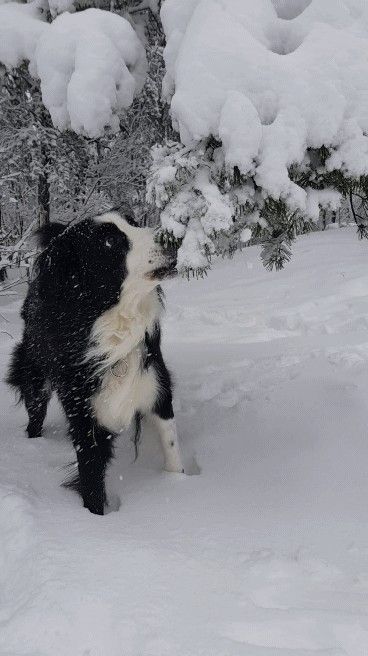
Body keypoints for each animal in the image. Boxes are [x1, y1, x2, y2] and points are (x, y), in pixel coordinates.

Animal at [5, 213, 184, 516]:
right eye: (110, 241)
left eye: (134, 222)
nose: (173, 238)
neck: (114, 327)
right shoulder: (84, 415)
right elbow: (91, 480)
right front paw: (94, 523)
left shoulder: (157, 388)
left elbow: (172, 450)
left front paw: (181, 486)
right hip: (34, 377)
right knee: (35, 415)